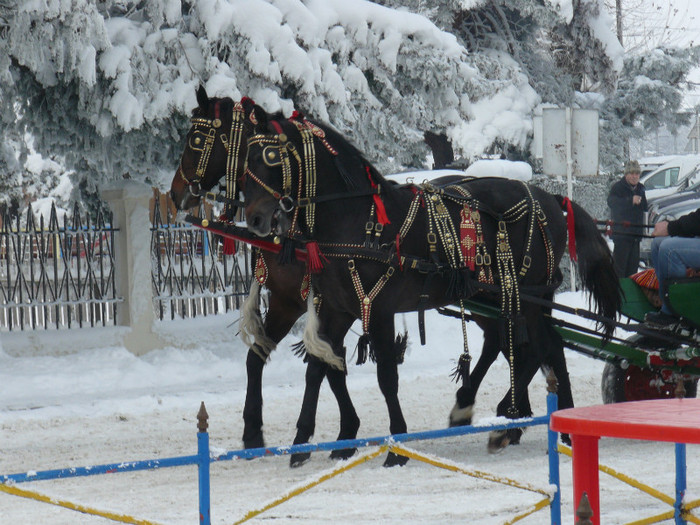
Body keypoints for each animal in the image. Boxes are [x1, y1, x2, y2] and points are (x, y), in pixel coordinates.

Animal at [242, 106, 624, 462]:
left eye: (270, 156)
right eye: (244, 157)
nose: (255, 218)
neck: (356, 218)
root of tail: (551, 198)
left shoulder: (377, 308)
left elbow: (385, 376)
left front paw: (396, 446)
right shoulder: (337, 307)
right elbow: (320, 366)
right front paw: (303, 443)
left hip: (526, 294)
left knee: (542, 347)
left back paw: (542, 426)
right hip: (501, 296)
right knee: (530, 346)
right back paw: (523, 422)